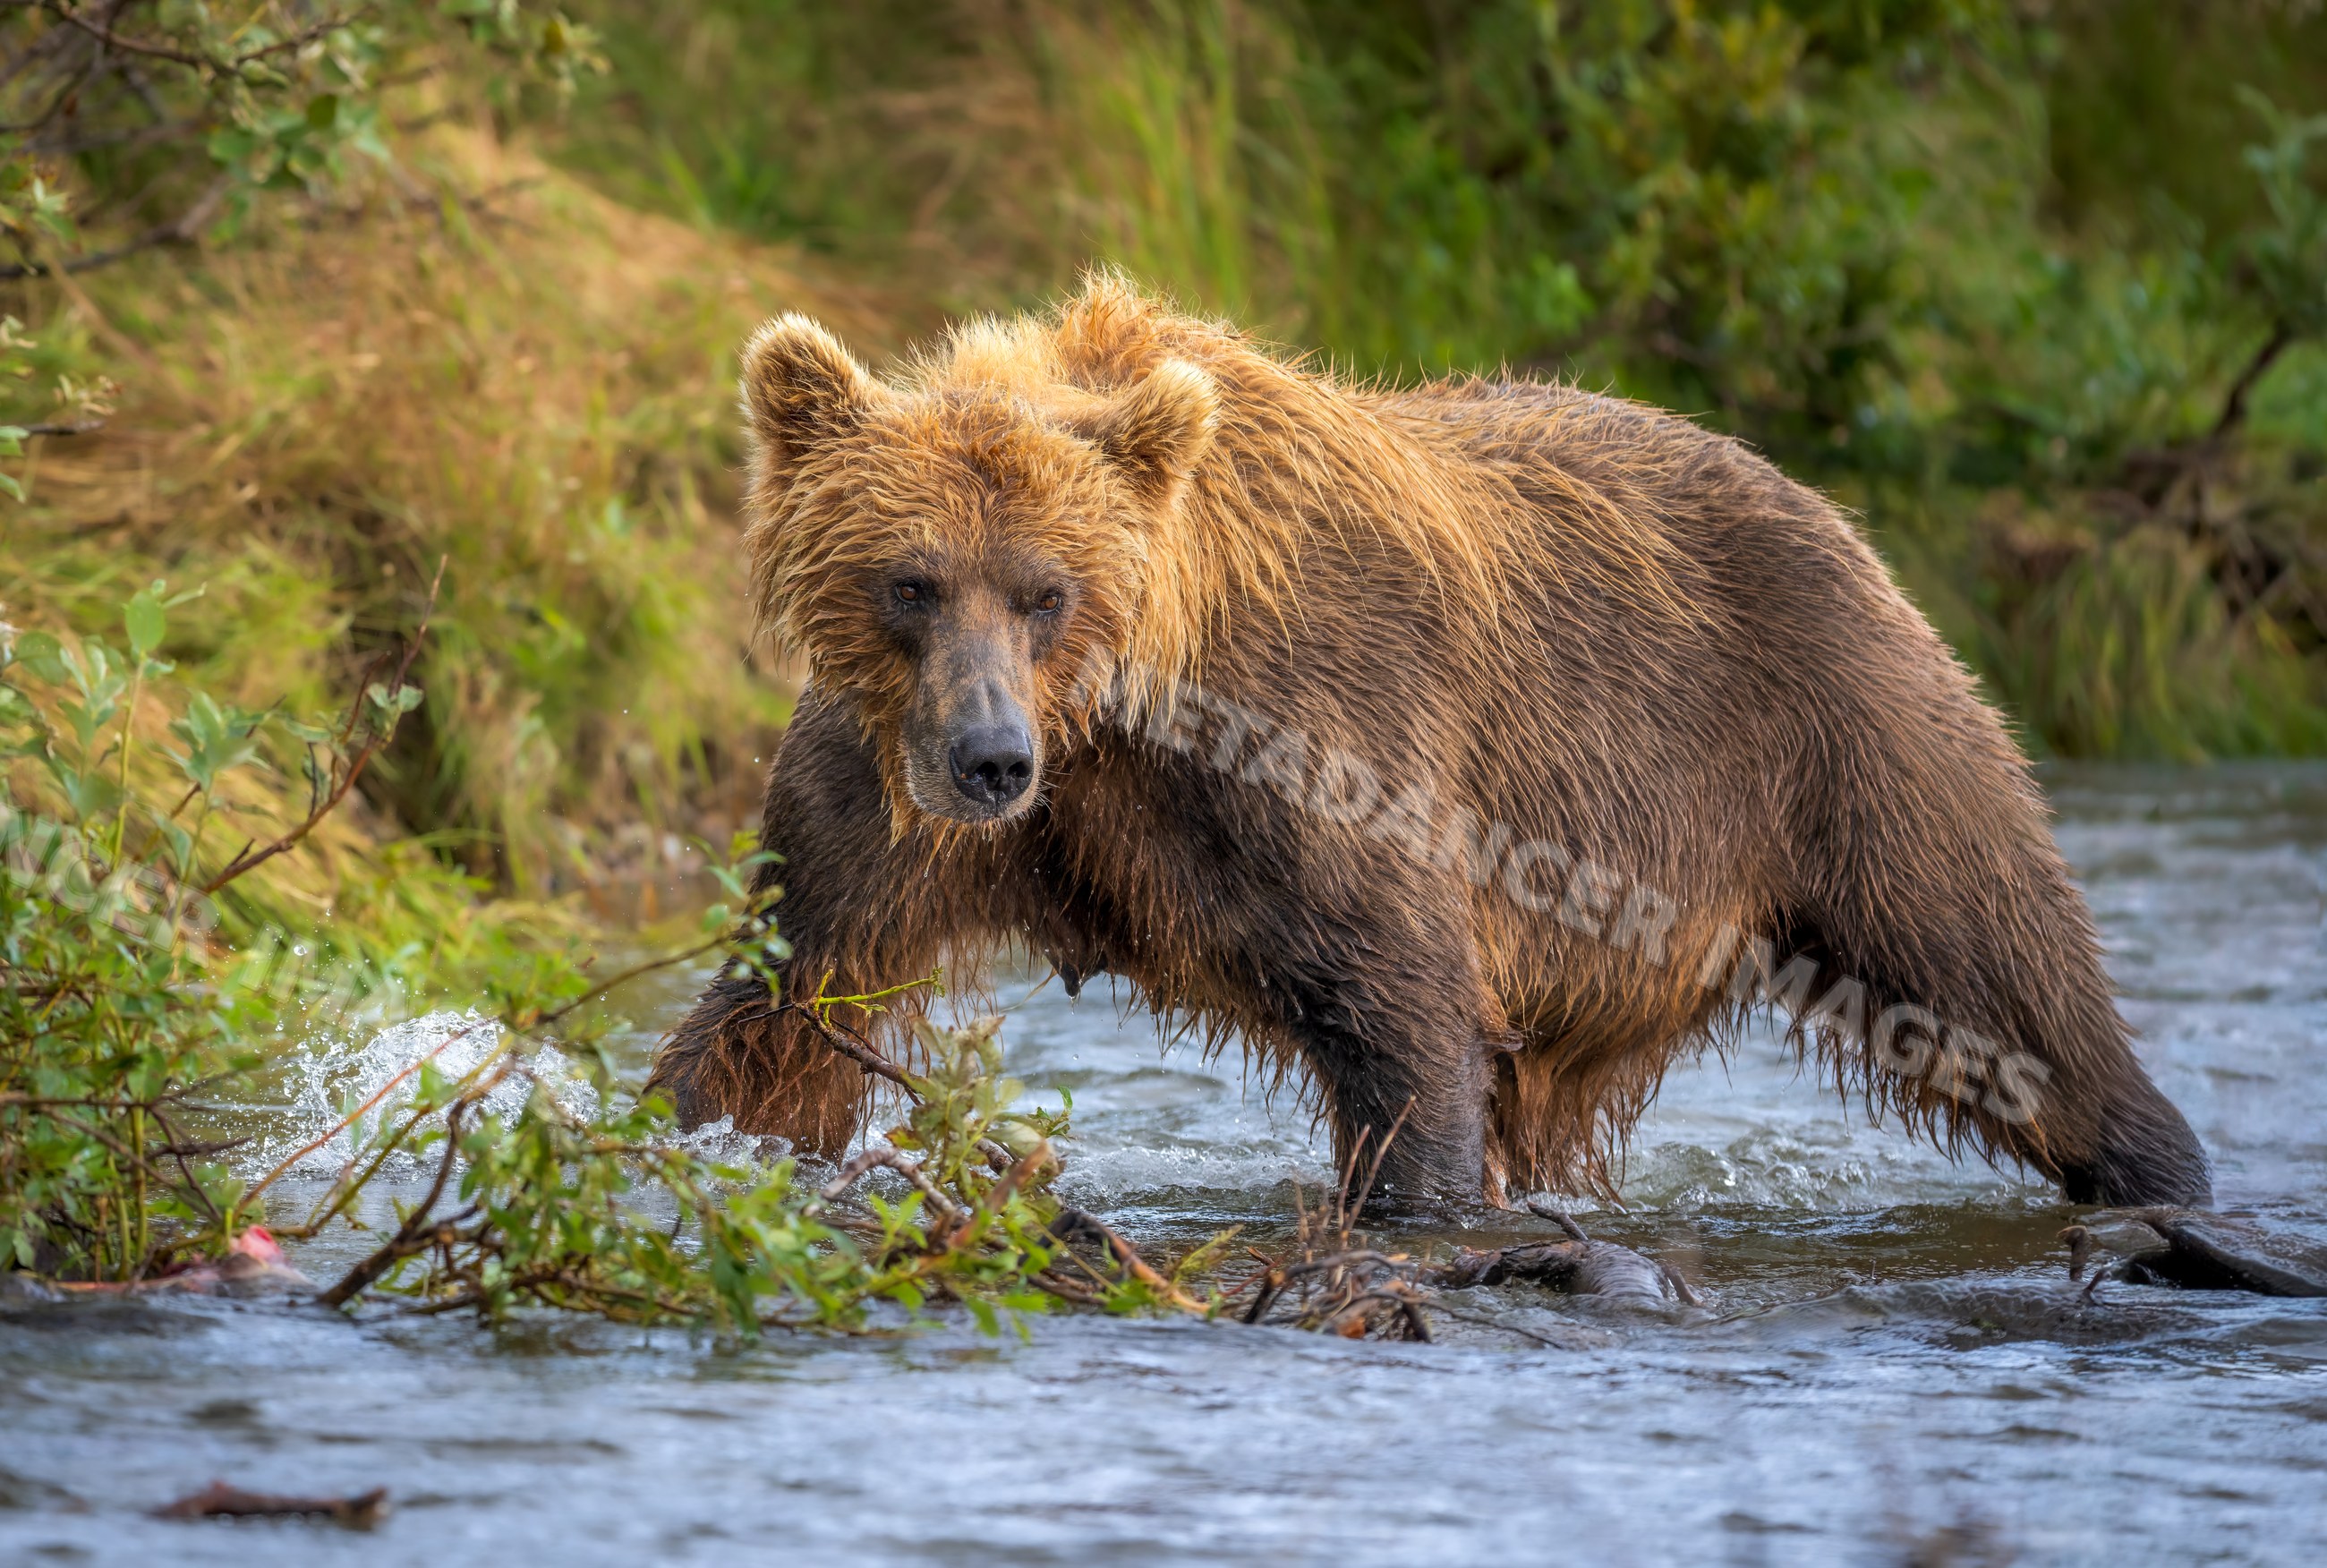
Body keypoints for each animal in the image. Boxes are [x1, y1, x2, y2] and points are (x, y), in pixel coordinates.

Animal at [649, 274, 2211, 1213]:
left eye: (1048, 590)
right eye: (910, 581)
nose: (989, 762)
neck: (1123, 725)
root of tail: (1829, 508)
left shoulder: (1325, 744)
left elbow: (1398, 1004)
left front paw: (1418, 1210)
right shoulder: (883, 800)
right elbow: (785, 999)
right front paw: (681, 1129)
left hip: (1841, 729)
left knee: (2001, 978)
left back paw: (2160, 1174)